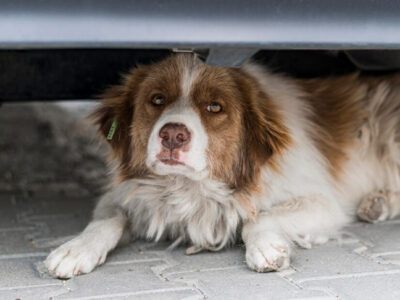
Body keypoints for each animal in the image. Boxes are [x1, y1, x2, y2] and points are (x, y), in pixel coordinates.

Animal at [44, 52, 400, 278]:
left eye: (214, 107)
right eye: (157, 99)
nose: (173, 135)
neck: (190, 188)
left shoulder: (321, 200)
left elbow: (257, 219)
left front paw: (265, 248)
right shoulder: (126, 193)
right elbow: (105, 220)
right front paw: (75, 249)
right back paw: (378, 203)